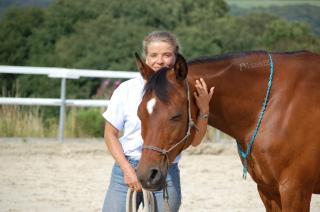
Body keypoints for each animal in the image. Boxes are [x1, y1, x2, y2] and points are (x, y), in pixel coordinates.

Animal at [134, 50, 320, 211]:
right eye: (139, 114)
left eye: (176, 116)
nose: (146, 176)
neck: (275, 103)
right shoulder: (268, 190)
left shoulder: (295, 191)